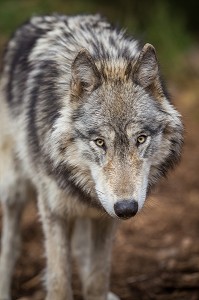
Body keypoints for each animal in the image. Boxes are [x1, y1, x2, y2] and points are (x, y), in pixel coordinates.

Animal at [0, 13, 183, 300]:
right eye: (100, 142)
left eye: (141, 139)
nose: (126, 208)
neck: (104, 56)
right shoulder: (53, 210)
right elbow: (60, 283)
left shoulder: (104, 217)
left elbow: (97, 281)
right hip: (14, 188)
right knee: (11, 244)